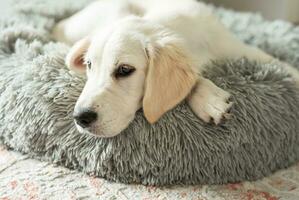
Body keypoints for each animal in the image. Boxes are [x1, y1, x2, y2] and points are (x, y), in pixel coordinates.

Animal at [52, 0, 299, 138]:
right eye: (89, 65)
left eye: (124, 70)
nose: (80, 118)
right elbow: (193, 78)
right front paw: (210, 100)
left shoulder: (239, 48)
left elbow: (285, 67)